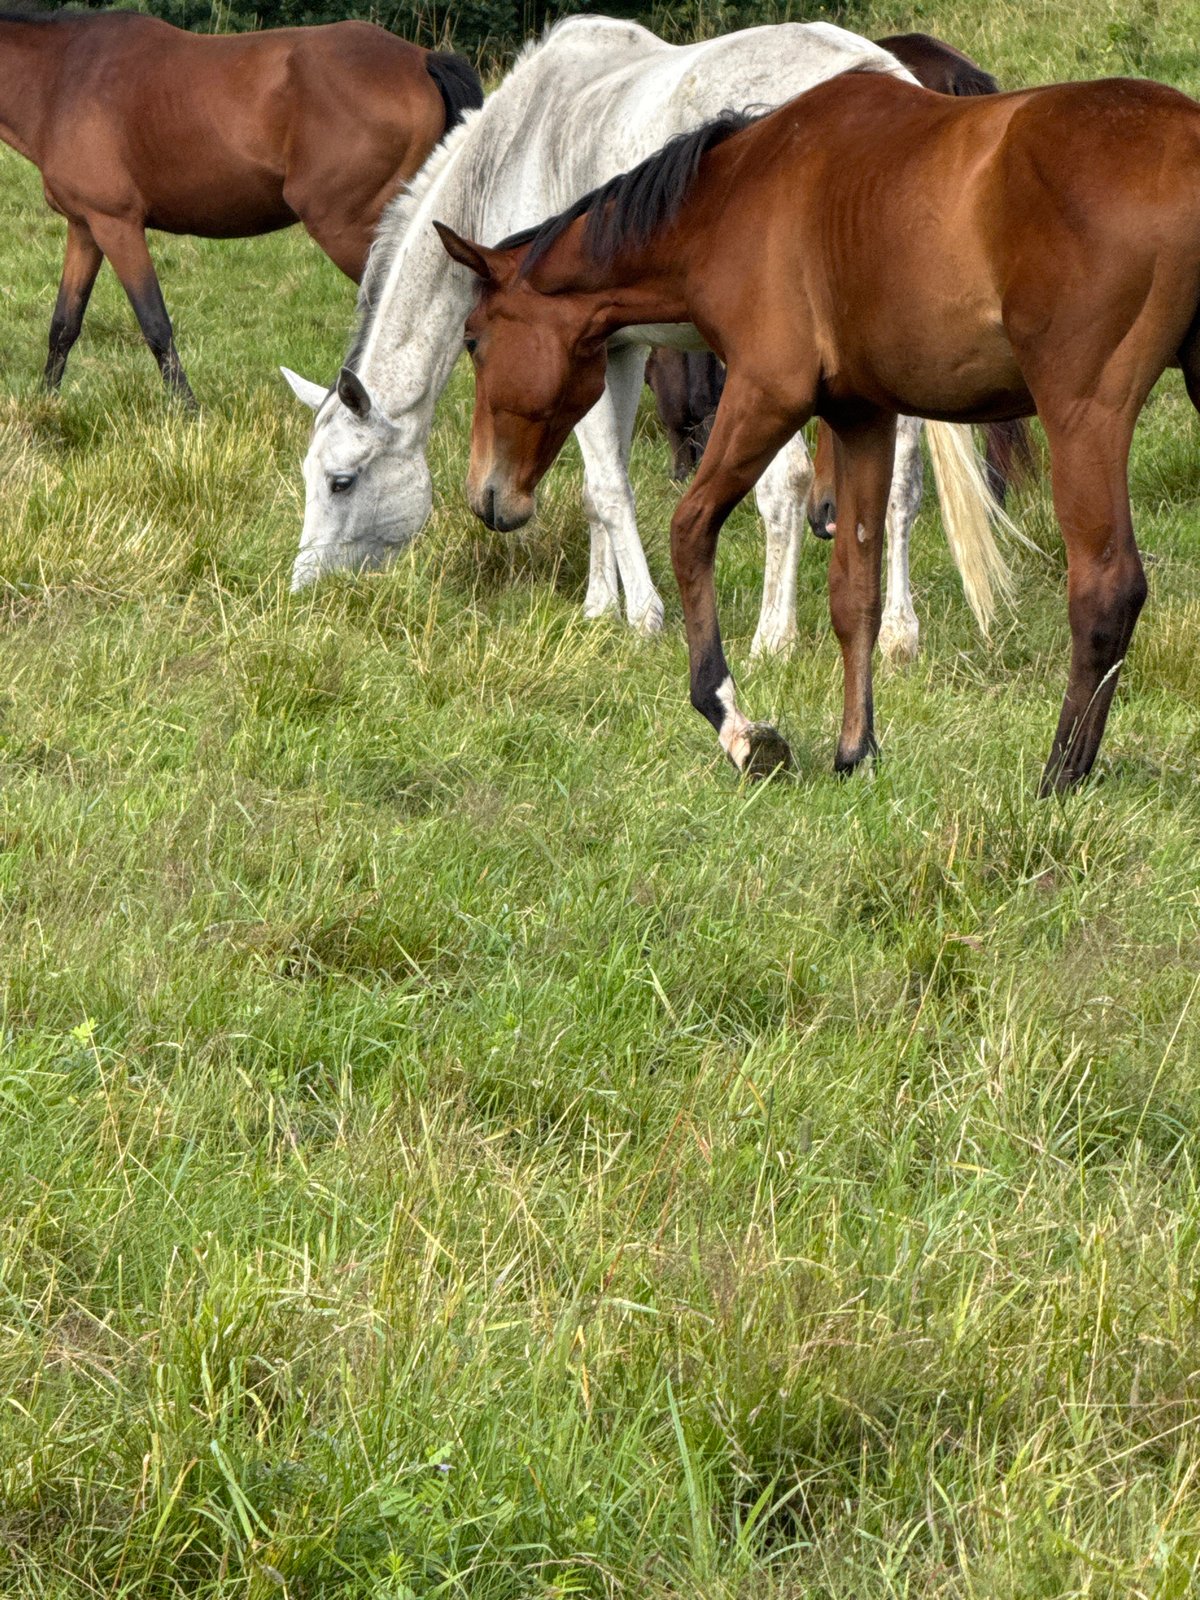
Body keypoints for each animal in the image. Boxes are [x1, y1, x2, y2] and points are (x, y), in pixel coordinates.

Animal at [0, 10, 481, 403]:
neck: (61, 78)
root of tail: (422, 58)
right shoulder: (85, 227)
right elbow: (64, 324)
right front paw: (45, 405)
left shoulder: (117, 225)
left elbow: (155, 325)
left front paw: (187, 413)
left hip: (346, 229)